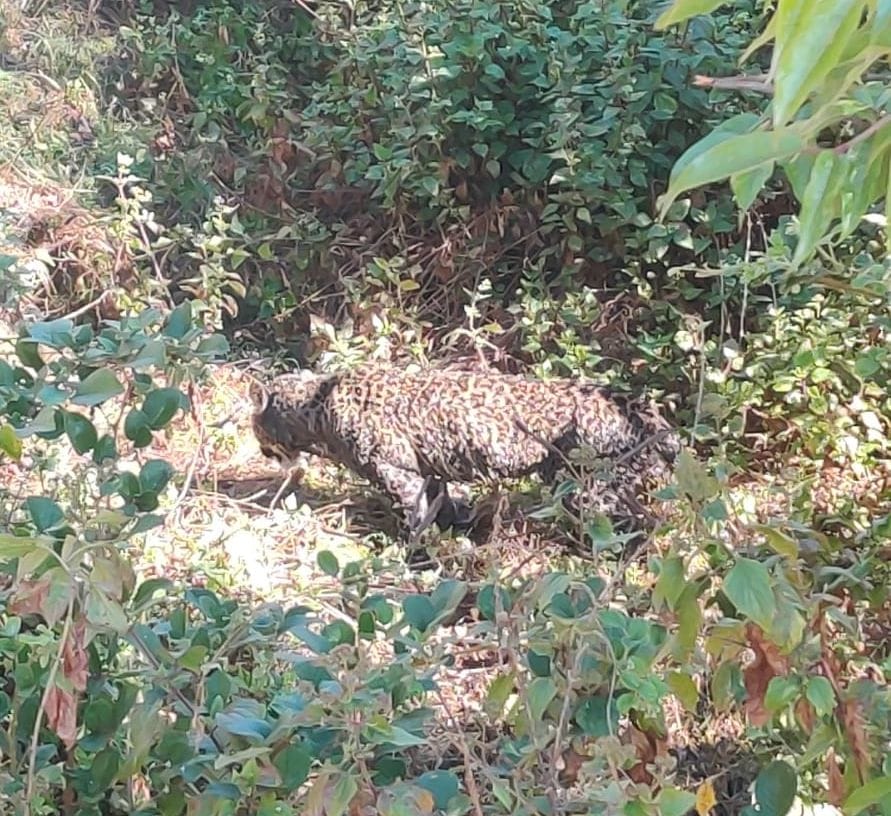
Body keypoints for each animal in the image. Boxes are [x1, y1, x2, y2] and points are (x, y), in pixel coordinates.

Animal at [249, 364, 681, 540]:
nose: (262, 451)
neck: (316, 407)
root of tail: (648, 412)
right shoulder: (431, 471)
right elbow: (443, 503)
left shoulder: (397, 473)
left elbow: (414, 517)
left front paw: (415, 551)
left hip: (587, 487)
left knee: (626, 525)